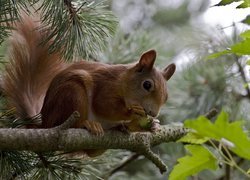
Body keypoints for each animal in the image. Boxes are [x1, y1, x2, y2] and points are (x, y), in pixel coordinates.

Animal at [2, 13, 177, 135]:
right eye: (147, 85)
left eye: (167, 96)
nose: (153, 113)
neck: (123, 82)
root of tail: (44, 124)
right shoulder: (106, 85)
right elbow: (103, 105)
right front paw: (132, 112)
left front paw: (152, 125)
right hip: (72, 93)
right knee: (71, 122)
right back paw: (87, 124)